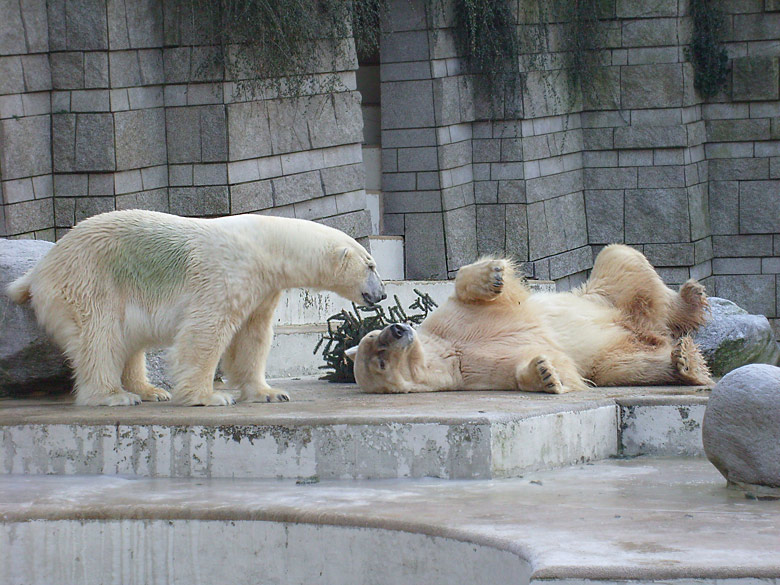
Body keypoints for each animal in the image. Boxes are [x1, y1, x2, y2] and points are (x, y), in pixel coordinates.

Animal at [6, 210, 384, 406]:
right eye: (370, 265)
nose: (380, 295)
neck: (267, 245)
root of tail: (39, 270)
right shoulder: (228, 271)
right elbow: (207, 330)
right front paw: (210, 397)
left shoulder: (263, 287)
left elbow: (252, 337)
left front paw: (270, 393)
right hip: (90, 281)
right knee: (99, 336)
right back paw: (115, 396)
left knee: (127, 340)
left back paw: (149, 391)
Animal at [348, 244, 712, 394]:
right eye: (380, 360)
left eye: (373, 335)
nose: (396, 328)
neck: (449, 349)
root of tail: (645, 327)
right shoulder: (470, 373)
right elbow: (530, 366)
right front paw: (544, 374)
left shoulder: (448, 321)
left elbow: (469, 291)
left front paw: (492, 274)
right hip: (615, 353)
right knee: (630, 365)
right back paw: (685, 361)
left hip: (604, 297)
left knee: (621, 258)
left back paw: (691, 298)